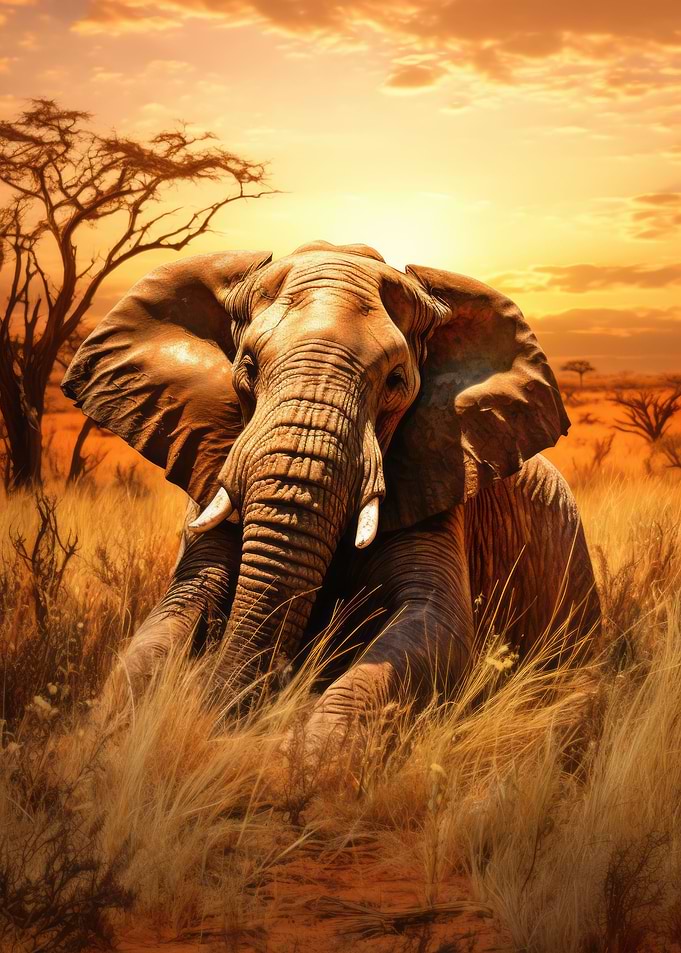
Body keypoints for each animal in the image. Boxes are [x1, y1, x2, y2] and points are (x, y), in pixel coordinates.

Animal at [62, 240, 600, 738]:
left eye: (396, 381)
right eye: (247, 367)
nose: (227, 710)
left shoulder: (438, 469)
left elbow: (436, 625)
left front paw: (308, 759)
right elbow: (173, 614)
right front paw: (107, 741)